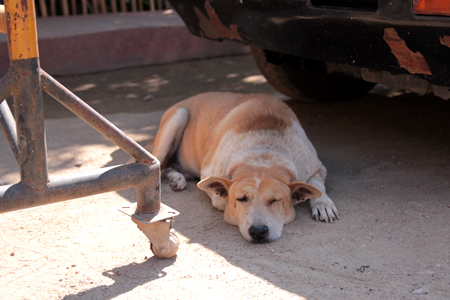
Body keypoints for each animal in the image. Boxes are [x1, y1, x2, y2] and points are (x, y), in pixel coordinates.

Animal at [144, 92, 338, 243]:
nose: (258, 231)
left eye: (275, 200)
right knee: (158, 166)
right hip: (178, 117)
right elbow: (220, 199)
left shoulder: (318, 167)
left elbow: (317, 186)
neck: (263, 151)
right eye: (241, 199)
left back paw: (178, 178)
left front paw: (323, 203)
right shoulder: (208, 174)